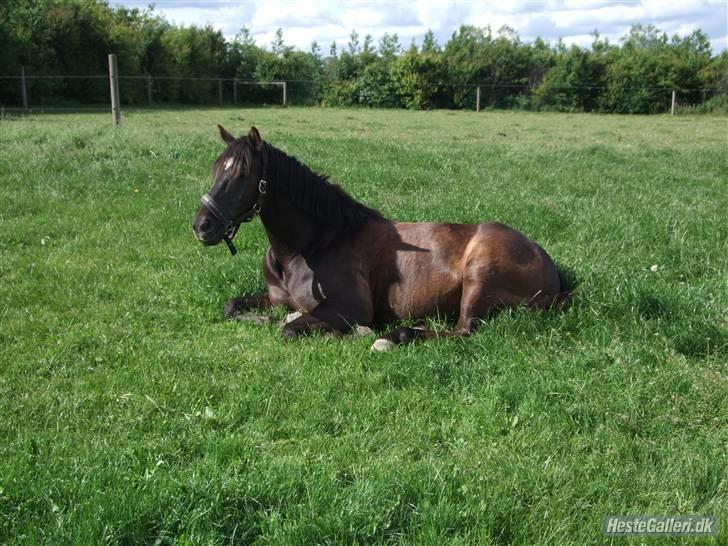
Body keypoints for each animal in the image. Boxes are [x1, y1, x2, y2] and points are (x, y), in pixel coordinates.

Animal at [193, 125, 568, 350]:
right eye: (215, 169)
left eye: (243, 174)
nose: (202, 226)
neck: (309, 248)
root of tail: (550, 269)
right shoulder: (274, 297)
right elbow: (233, 307)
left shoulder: (350, 308)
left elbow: (291, 329)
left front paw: (357, 332)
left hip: (479, 273)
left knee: (464, 330)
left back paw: (394, 337)